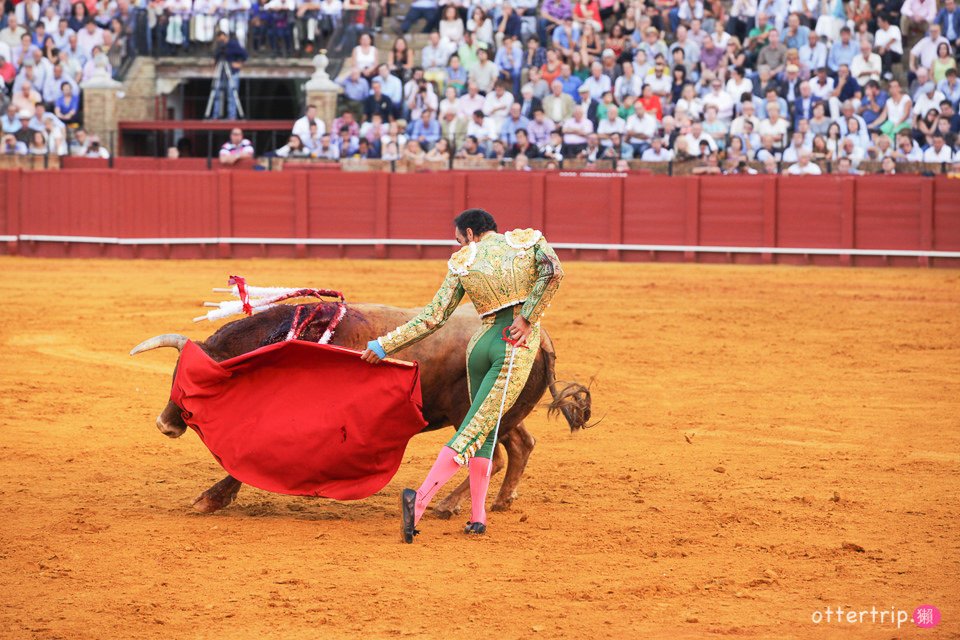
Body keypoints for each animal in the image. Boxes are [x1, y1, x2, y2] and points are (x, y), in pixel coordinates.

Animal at [130, 302, 588, 516]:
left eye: (189, 385)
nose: (164, 424)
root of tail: (539, 337)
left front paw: (210, 499)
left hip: (475, 412)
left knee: (490, 456)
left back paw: (445, 505)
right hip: (504, 414)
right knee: (521, 446)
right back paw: (502, 501)